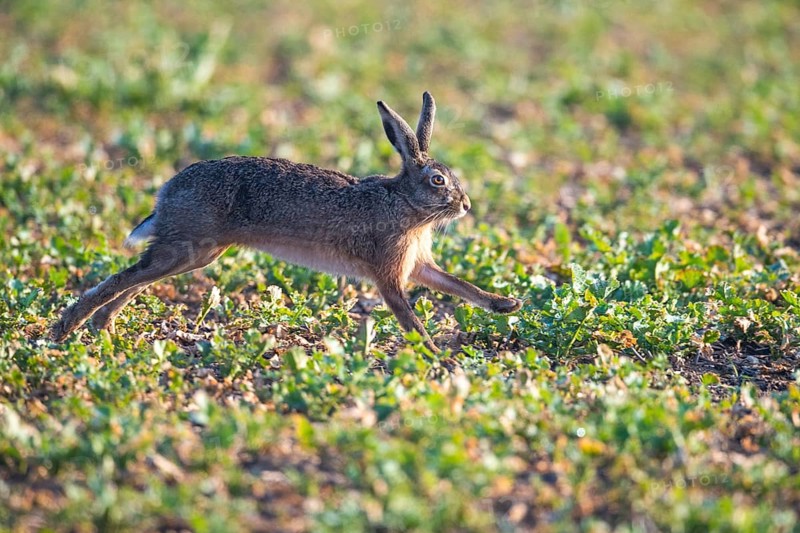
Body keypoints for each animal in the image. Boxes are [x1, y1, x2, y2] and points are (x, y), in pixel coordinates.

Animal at [50, 92, 522, 352]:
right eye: (438, 180)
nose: (465, 205)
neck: (404, 202)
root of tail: (166, 191)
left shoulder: (417, 265)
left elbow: (458, 285)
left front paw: (506, 305)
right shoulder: (389, 275)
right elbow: (408, 316)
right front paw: (435, 355)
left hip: (196, 254)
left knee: (137, 278)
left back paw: (102, 327)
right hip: (188, 248)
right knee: (125, 276)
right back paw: (67, 328)